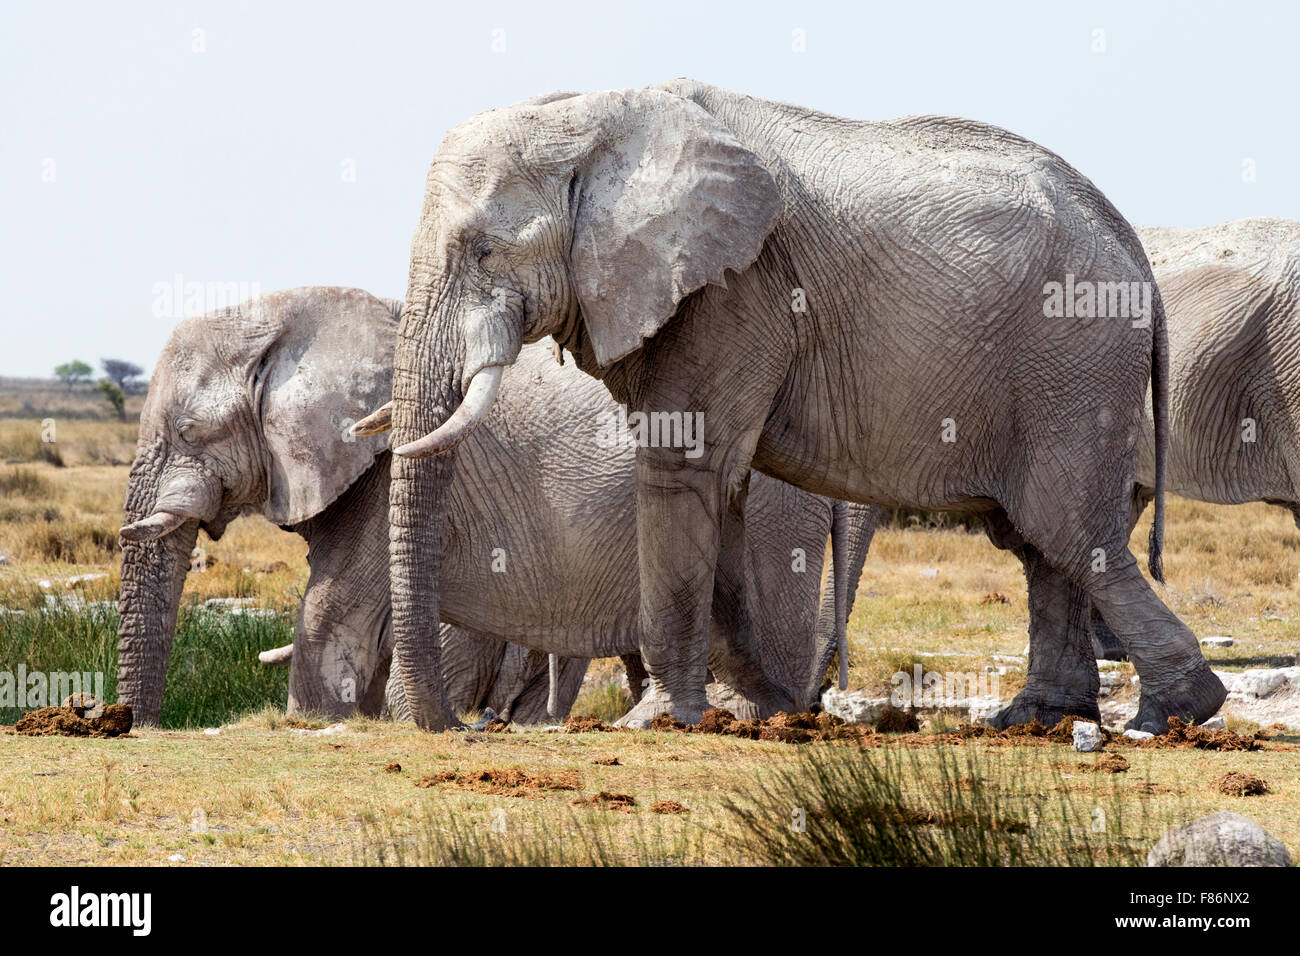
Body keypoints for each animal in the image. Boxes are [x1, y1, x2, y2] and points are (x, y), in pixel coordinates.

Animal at [379, 78, 1222, 733]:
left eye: (483, 250)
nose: (467, 726)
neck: (592, 115)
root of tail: (1132, 245)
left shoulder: (736, 291)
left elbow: (682, 470)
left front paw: (668, 720)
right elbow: (722, 488)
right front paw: (763, 706)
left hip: (1071, 361)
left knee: (1068, 528)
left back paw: (1176, 713)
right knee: (1037, 541)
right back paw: (1036, 717)